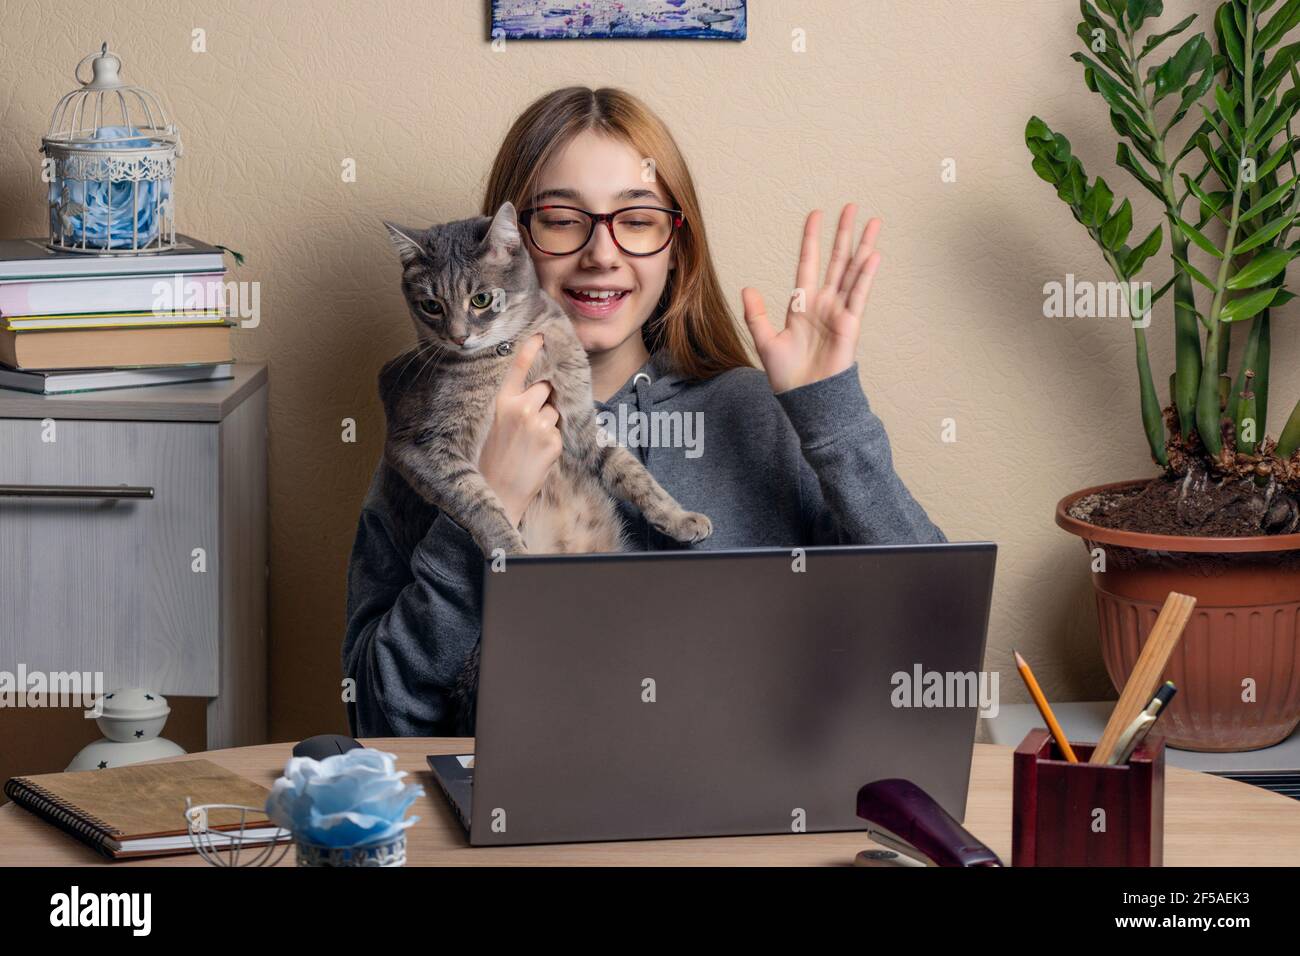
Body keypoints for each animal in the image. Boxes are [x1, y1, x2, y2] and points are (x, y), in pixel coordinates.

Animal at [379, 202, 717, 561]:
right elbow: (478, 502)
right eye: (431, 306)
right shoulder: (421, 445)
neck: (510, 351)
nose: (458, 337)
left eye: (481, 299)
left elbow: (630, 469)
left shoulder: (578, 418)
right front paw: (511, 551)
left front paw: (679, 516)